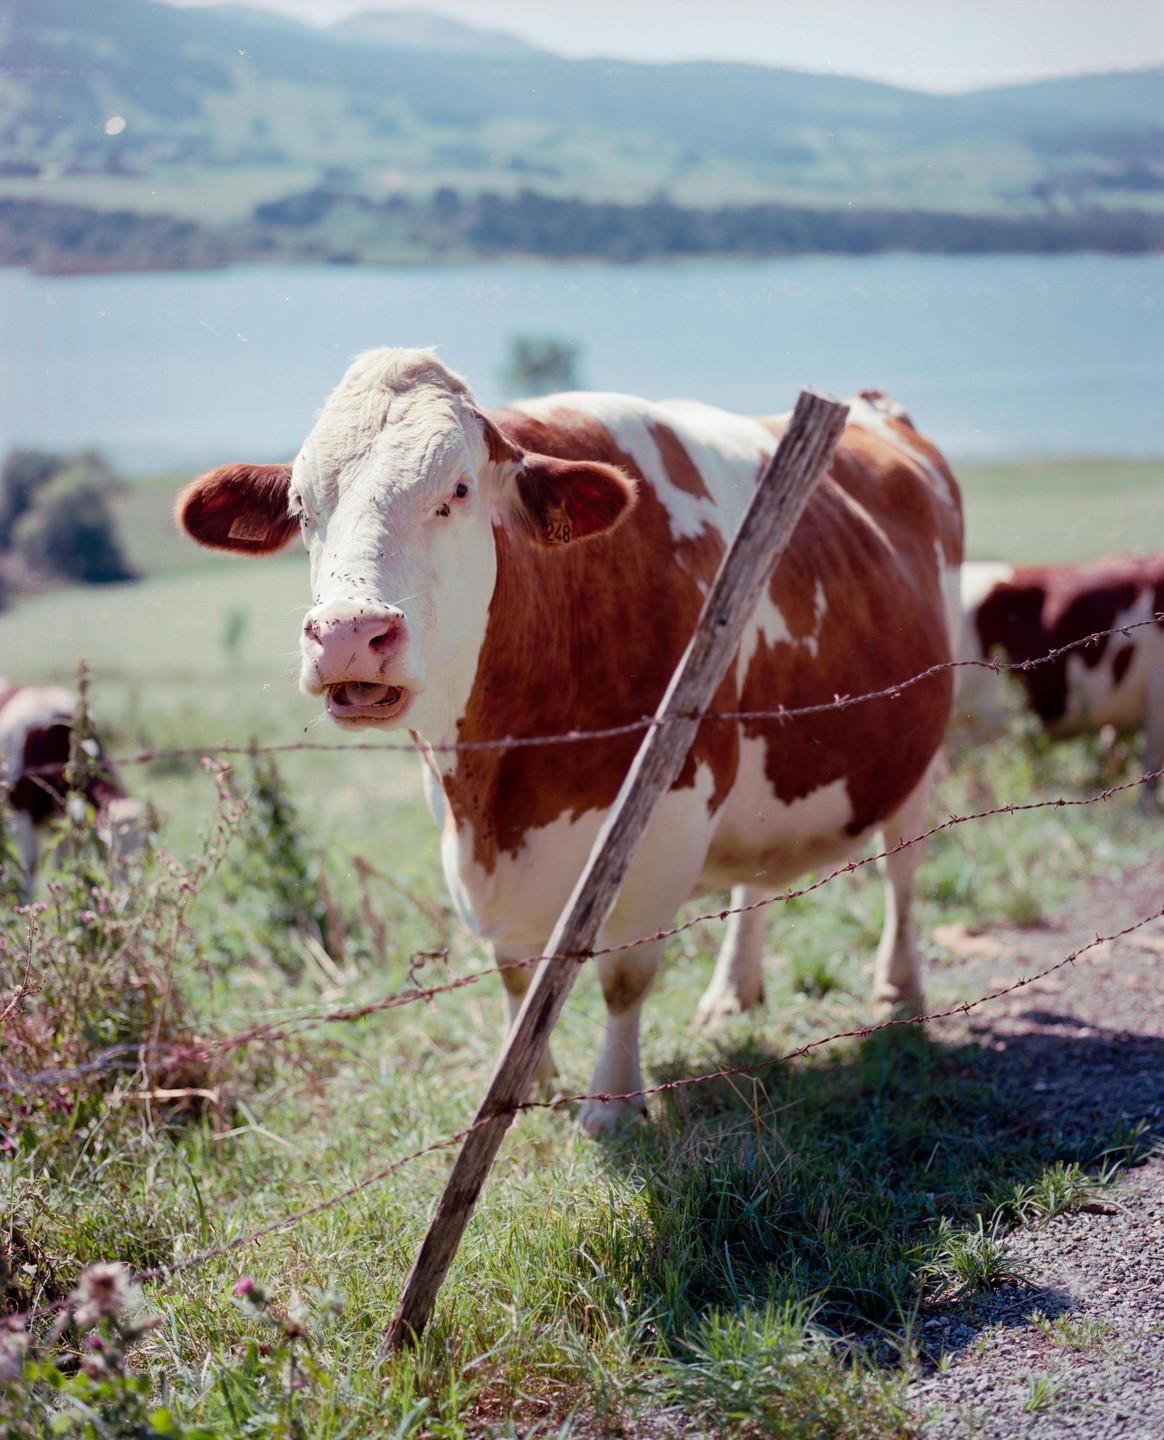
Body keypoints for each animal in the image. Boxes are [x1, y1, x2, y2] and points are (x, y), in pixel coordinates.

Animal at [0, 682, 143, 893]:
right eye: (108, 849)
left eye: (139, 857)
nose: (127, 893)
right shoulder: (21, 811)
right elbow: (29, 866)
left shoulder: (64, 818)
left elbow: (63, 865)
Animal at [177, 349, 963, 1131]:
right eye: (302, 505)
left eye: (458, 489)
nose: (346, 633)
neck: (497, 788)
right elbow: (517, 976)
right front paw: (526, 1085)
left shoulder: (664, 829)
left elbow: (622, 976)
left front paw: (610, 1105)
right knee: (757, 881)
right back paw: (731, 995)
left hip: (919, 750)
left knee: (903, 870)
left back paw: (898, 989)